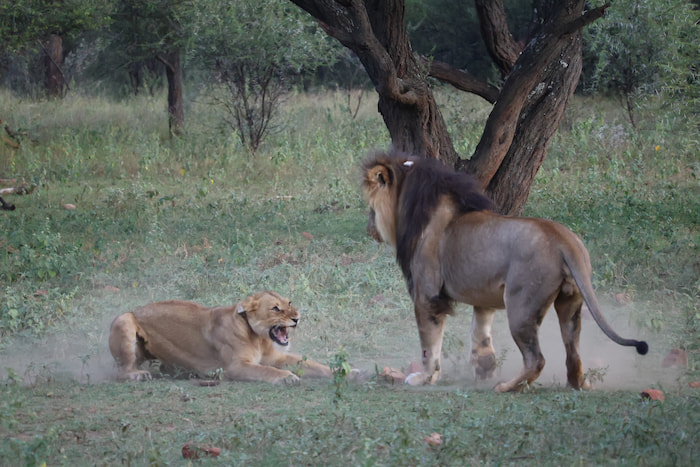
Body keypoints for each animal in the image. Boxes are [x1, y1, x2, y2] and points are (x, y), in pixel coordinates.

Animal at [108, 291, 332, 384]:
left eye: (289, 302)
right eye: (275, 308)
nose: (297, 318)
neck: (258, 338)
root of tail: (135, 310)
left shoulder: (277, 357)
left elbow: (312, 364)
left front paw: (340, 371)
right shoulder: (235, 367)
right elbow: (266, 370)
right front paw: (287, 377)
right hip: (123, 319)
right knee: (120, 371)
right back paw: (137, 375)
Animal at [362, 150, 648, 392]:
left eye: (371, 207)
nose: (369, 228)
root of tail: (563, 239)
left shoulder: (427, 296)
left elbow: (429, 345)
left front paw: (424, 378)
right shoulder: (484, 296)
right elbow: (480, 333)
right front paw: (484, 369)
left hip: (521, 306)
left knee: (536, 359)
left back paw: (507, 387)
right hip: (571, 302)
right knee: (573, 351)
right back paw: (577, 384)